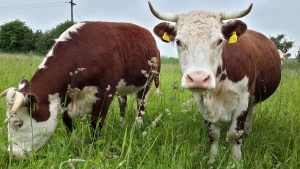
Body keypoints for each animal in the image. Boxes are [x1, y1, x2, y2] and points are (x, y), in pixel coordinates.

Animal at [0, 21, 161, 158]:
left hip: (149, 81)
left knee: (141, 104)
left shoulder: (104, 93)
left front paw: (94, 147)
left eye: (18, 123)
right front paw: (75, 143)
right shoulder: (65, 98)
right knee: (123, 101)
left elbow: (96, 124)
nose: (12, 155)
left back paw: (138, 125)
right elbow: (68, 125)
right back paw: (122, 123)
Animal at [149, 1, 282, 162]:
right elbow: (213, 134)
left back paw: (248, 132)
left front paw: (236, 161)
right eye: (179, 41)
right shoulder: (201, 102)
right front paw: (212, 159)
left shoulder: (243, 98)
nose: (198, 79)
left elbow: (235, 135)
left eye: (219, 40)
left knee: (251, 111)